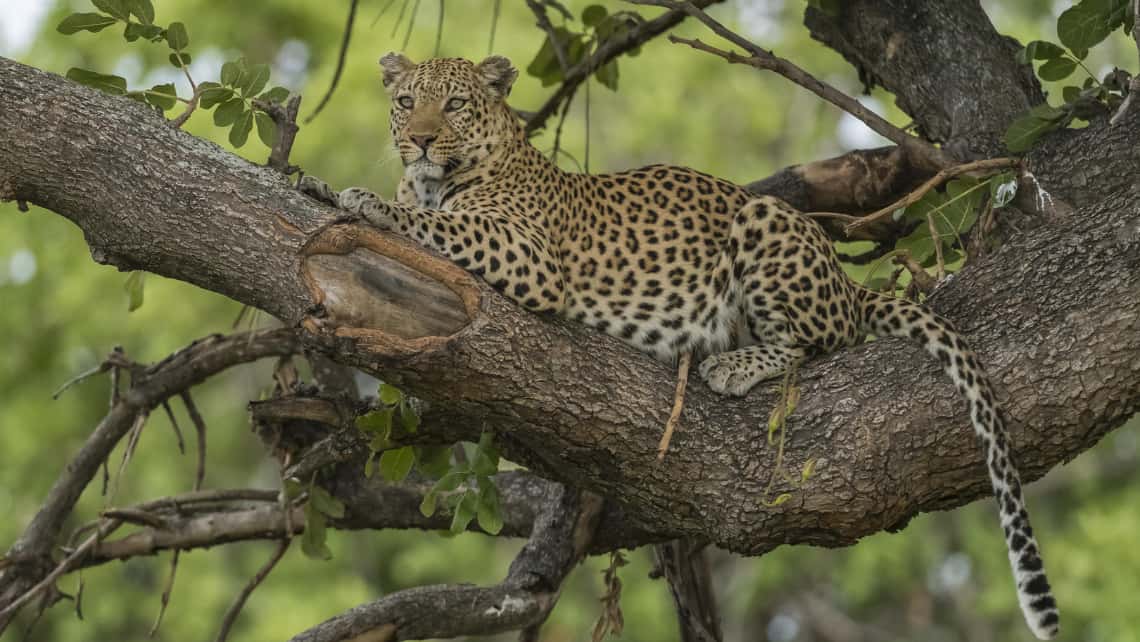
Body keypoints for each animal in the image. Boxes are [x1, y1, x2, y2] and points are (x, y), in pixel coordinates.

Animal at [300, 53, 1057, 638]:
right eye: (406, 103)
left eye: (455, 104)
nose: (422, 141)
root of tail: (845, 279)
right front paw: (314, 180)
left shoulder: (528, 255)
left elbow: (434, 225)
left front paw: (368, 200)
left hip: (765, 221)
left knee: (817, 343)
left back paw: (733, 363)